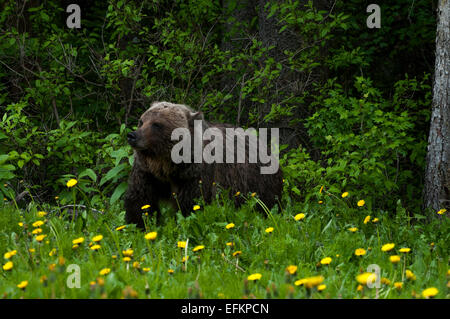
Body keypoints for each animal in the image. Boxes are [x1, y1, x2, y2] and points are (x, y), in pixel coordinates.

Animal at [124, 101, 282, 229]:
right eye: (141, 121)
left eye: (157, 124)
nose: (132, 135)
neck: (168, 167)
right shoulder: (147, 172)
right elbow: (140, 200)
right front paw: (139, 226)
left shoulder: (197, 175)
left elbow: (192, 204)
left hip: (258, 183)